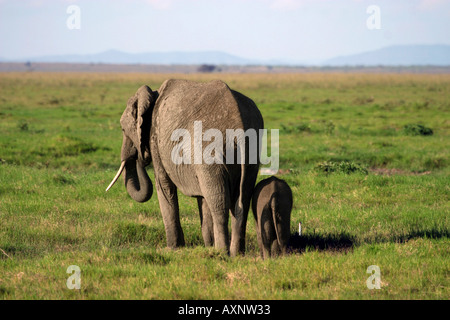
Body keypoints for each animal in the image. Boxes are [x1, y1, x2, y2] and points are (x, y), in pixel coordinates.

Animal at [106, 79, 264, 256]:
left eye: (122, 129)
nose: (140, 155)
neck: (153, 94)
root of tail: (238, 125)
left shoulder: (156, 138)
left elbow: (164, 186)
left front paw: (173, 248)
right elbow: (202, 198)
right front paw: (207, 246)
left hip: (210, 148)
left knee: (218, 201)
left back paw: (222, 252)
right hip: (251, 151)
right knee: (242, 200)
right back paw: (237, 254)